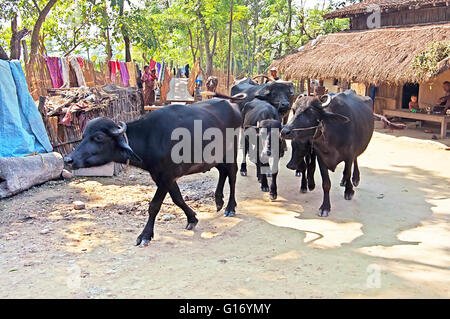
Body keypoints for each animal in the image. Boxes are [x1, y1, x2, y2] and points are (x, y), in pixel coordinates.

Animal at [63, 97, 243, 248]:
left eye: (99, 137)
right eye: (83, 136)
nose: (68, 160)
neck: (150, 138)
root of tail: (233, 107)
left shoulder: (166, 177)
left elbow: (154, 205)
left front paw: (145, 235)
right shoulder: (162, 177)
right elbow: (177, 199)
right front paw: (192, 218)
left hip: (231, 152)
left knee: (232, 176)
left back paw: (230, 207)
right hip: (216, 157)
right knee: (223, 172)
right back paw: (218, 200)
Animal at [282, 91, 372, 219]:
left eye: (310, 111)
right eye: (294, 110)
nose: (285, 131)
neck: (332, 135)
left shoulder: (349, 156)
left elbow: (347, 172)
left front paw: (349, 191)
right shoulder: (321, 158)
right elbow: (326, 183)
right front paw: (325, 207)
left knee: (355, 161)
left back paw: (355, 179)